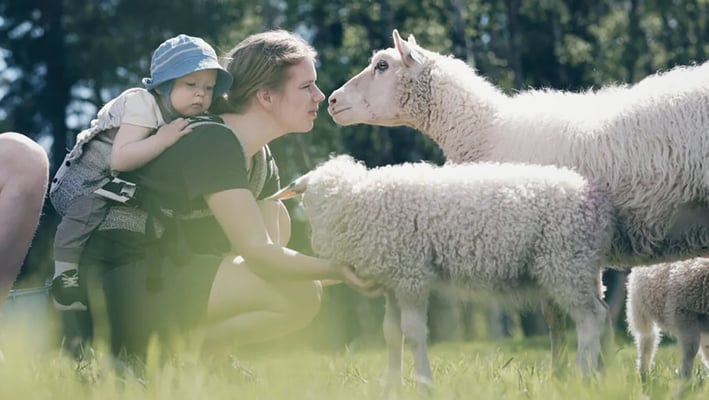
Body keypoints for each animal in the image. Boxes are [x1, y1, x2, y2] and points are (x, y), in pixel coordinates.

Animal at [272, 155, 612, 390]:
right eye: (309, 195)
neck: (354, 201)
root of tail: (591, 198)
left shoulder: (410, 276)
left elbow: (413, 333)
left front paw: (424, 384)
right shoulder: (392, 281)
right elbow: (391, 334)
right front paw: (392, 385)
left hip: (565, 264)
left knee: (590, 318)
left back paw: (584, 375)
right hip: (579, 267)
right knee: (597, 312)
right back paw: (595, 372)